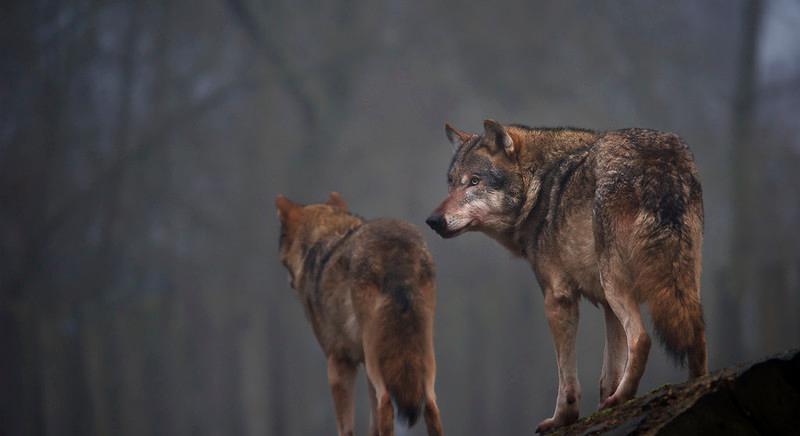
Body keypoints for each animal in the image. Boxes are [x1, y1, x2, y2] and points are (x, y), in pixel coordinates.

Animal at [276, 193, 444, 436]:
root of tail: (396, 247)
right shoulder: (363, 363)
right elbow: (372, 425)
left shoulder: (338, 361)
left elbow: (346, 428)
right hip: (422, 357)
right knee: (430, 406)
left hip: (377, 359)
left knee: (386, 403)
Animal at [424, 121, 708, 430]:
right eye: (452, 183)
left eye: (474, 181)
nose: (433, 221)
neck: (537, 187)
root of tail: (658, 158)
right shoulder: (606, 306)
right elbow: (608, 374)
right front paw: (603, 406)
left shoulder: (557, 297)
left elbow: (566, 377)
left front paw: (562, 418)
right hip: (681, 279)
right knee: (696, 333)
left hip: (616, 282)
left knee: (642, 338)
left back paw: (623, 398)